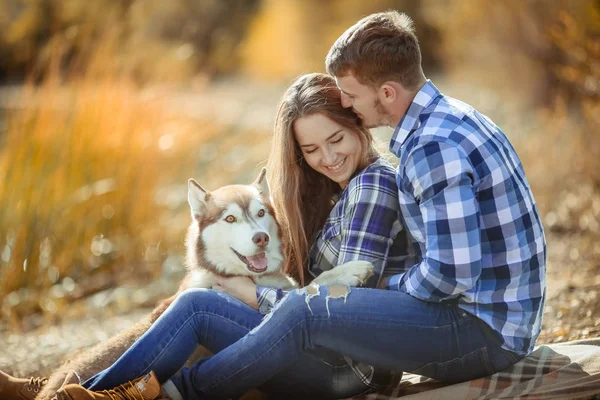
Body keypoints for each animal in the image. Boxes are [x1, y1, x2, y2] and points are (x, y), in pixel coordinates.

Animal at [37, 170, 370, 400]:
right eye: (231, 219)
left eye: (261, 213)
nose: (260, 238)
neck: (244, 277)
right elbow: (302, 291)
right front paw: (351, 270)